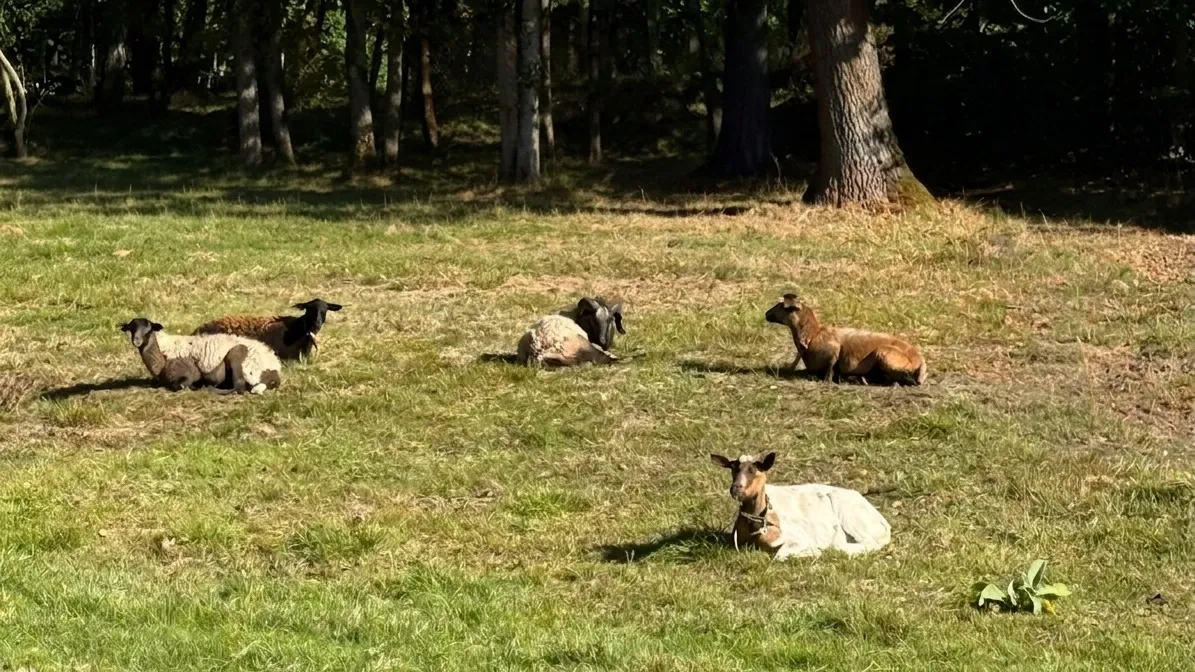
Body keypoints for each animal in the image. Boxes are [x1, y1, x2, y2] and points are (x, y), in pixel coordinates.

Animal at [121, 317, 282, 394]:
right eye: (131, 328)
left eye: (148, 330)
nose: (136, 341)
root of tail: (274, 368)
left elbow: (180, 385)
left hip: (246, 367)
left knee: (242, 387)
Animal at [710, 452, 892, 560]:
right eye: (733, 468)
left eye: (753, 469)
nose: (736, 488)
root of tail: (884, 523)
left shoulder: (797, 537)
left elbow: (780, 555)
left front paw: (816, 551)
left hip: (852, 517)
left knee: (870, 543)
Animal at [765, 293, 927, 385]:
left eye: (781, 305)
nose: (766, 314)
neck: (813, 335)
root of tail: (919, 361)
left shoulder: (834, 351)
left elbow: (829, 369)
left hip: (884, 353)